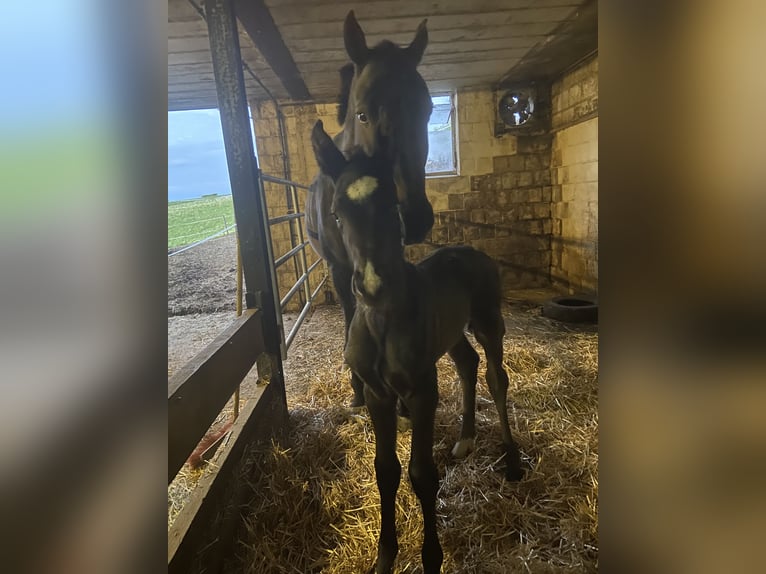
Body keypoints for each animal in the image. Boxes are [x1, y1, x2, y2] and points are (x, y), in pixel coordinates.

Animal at [308, 11, 438, 412]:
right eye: (362, 114)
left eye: (428, 110)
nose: (415, 217)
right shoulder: (340, 270)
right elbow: (352, 318)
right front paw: (358, 392)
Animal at [310, 119, 520, 572]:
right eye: (336, 213)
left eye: (393, 206)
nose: (372, 287)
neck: (383, 324)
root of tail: (469, 250)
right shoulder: (377, 394)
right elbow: (385, 469)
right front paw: (384, 556)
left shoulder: (422, 391)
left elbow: (422, 474)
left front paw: (431, 558)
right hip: (451, 334)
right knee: (467, 363)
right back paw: (465, 439)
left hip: (488, 322)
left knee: (497, 377)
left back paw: (513, 460)